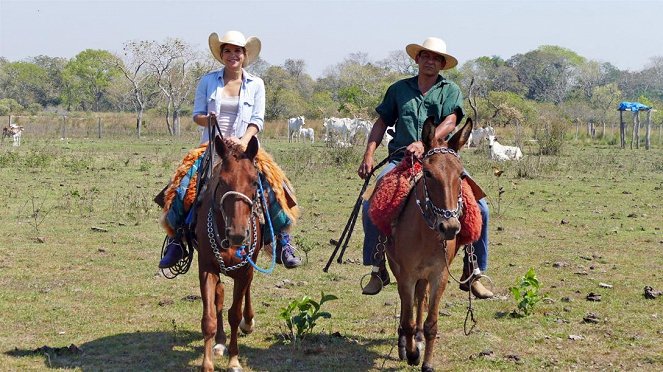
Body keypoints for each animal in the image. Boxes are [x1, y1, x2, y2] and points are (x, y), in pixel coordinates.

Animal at [195, 135, 262, 370]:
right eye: (222, 182)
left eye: (254, 181)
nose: (238, 234)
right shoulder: (207, 268)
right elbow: (209, 318)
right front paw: (207, 364)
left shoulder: (244, 271)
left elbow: (235, 313)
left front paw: (234, 360)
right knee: (220, 296)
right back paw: (220, 342)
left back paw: (248, 322)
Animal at [386, 117, 474, 372]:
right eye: (427, 173)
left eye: (461, 175)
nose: (450, 227)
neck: (425, 234)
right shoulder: (406, 274)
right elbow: (406, 318)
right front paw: (411, 353)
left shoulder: (439, 275)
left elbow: (431, 322)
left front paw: (426, 362)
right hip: (399, 270)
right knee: (406, 304)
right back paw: (406, 343)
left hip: (423, 277)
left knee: (419, 299)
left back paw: (417, 338)